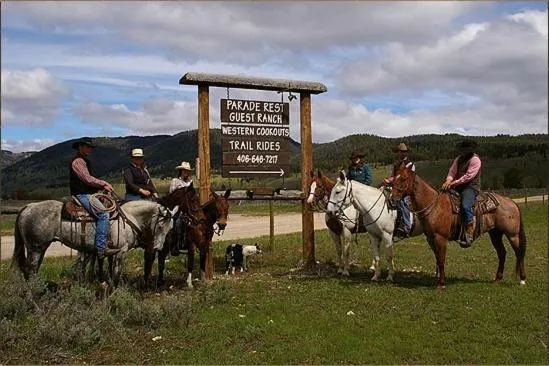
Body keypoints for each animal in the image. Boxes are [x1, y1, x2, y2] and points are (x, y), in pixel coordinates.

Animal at [11, 197, 176, 286]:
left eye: (171, 228)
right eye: (160, 225)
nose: (158, 248)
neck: (129, 218)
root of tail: (27, 206)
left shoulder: (112, 253)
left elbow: (111, 273)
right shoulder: (121, 251)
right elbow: (116, 275)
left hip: (40, 249)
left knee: (32, 272)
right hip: (35, 249)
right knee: (29, 271)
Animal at [388, 164, 524, 288]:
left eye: (403, 179)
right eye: (394, 177)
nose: (391, 199)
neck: (435, 206)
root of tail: (511, 202)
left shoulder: (441, 238)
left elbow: (441, 259)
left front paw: (441, 283)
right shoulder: (431, 238)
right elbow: (437, 258)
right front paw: (439, 279)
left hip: (512, 235)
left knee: (519, 253)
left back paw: (522, 279)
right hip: (495, 234)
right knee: (502, 253)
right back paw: (497, 279)